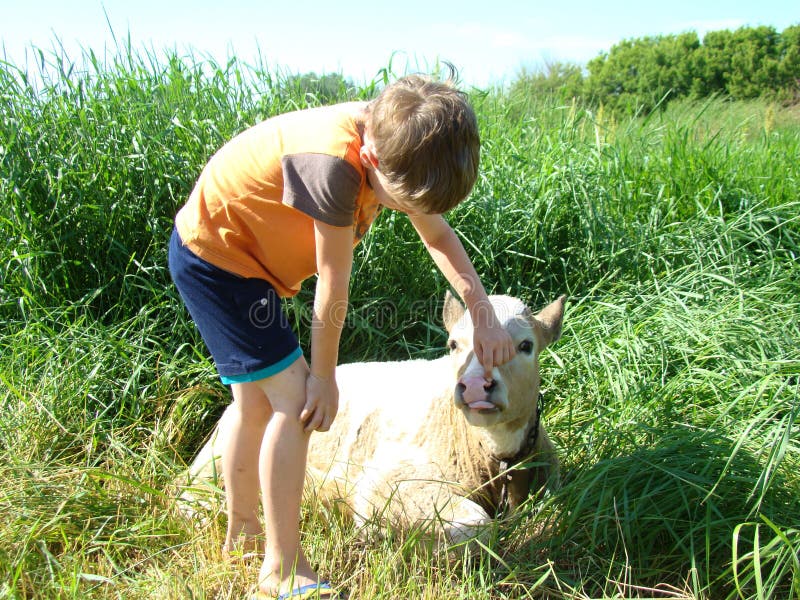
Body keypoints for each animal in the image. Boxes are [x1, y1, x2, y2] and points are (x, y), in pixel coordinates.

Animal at [181, 293, 565, 544]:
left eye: (526, 345)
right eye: (454, 344)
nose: (474, 385)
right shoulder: (390, 482)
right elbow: (476, 525)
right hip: (215, 458)